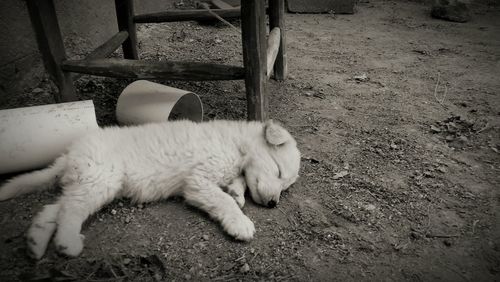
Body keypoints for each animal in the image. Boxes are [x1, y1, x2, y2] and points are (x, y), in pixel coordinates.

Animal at [0, 119, 298, 258]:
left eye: (285, 186)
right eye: (278, 171)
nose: (273, 204)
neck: (236, 143)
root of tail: (70, 153)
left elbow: (236, 186)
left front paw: (237, 193)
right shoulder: (198, 181)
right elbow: (221, 200)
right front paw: (241, 223)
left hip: (86, 181)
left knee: (55, 208)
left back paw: (36, 242)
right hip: (101, 178)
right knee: (70, 211)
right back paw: (66, 243)